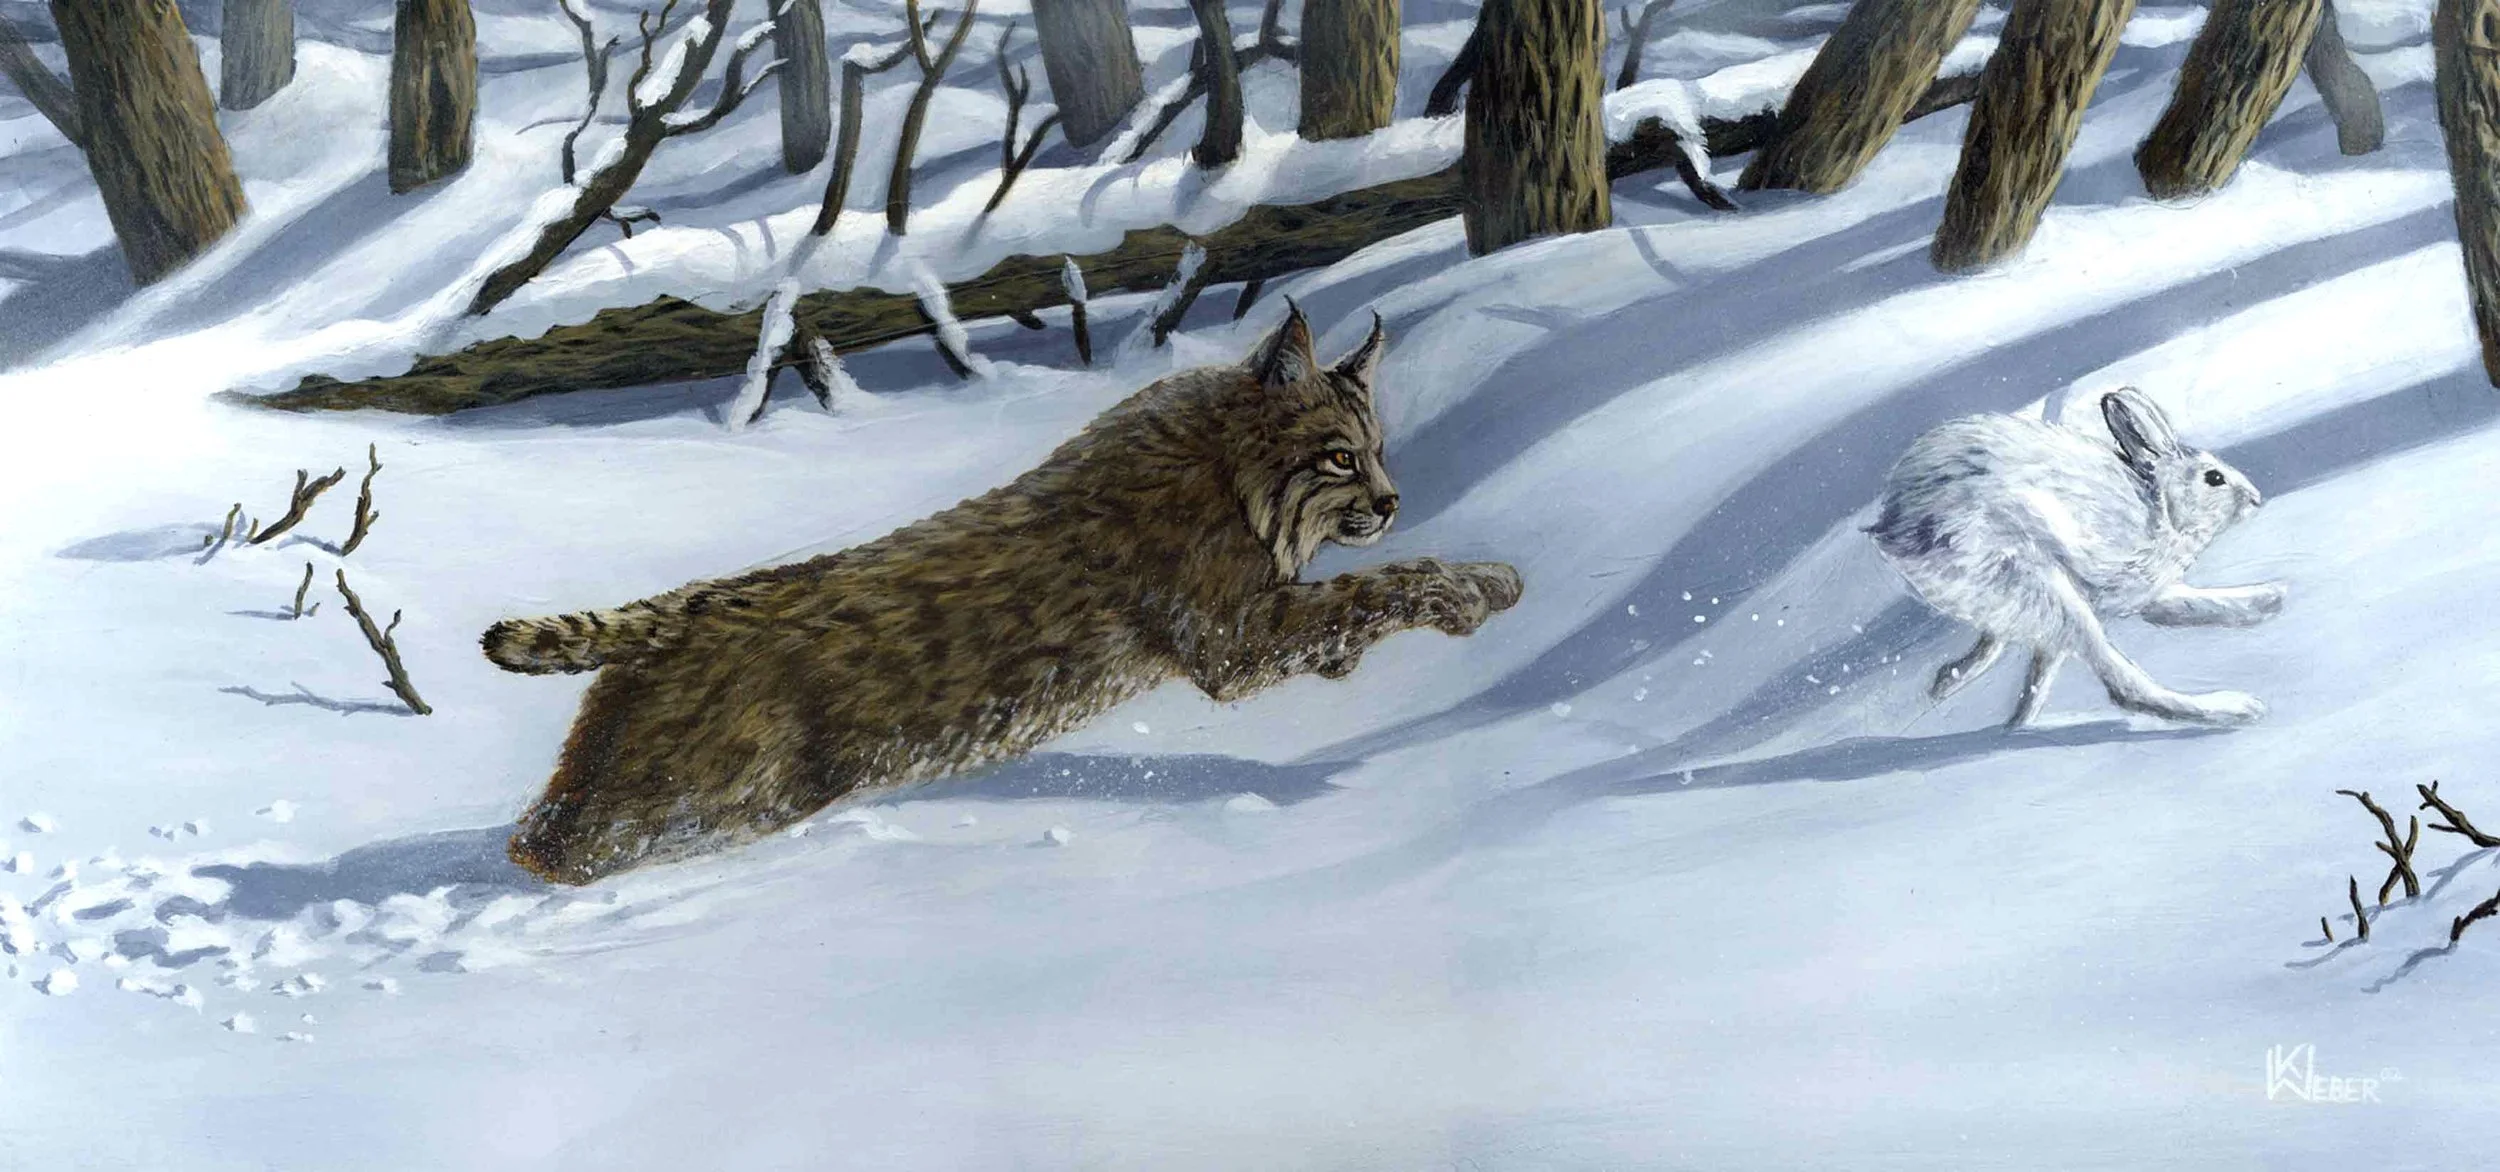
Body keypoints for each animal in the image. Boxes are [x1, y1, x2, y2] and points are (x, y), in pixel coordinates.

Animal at [1867, 388, 2284, 728]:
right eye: (2214, 478)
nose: (2256, 498)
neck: (2162, 509)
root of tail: (1892, 532)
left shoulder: (2145, 594)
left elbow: (2185, 603)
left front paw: (2268, 598)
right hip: (2039, 585)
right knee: (2117, 681)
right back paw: (2234, 708)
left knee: (2017, 655)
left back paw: (1979, 703)